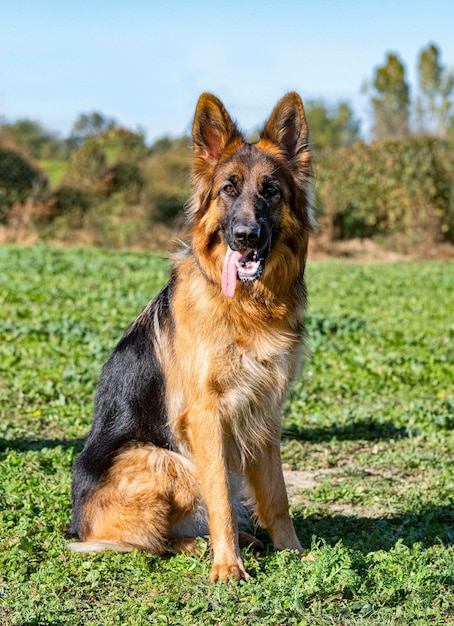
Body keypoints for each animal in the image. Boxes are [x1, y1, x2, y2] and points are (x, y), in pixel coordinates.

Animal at [67, 92, 314, 580]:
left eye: (271, 190)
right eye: (229, 189)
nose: (245, 237)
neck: (247, 307)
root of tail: (78, 524)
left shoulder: (266, 411)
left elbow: (277, 496)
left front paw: (293, 552)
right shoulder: (206, 415)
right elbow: (218, 496)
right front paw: (227, 566)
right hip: (165, 460)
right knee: (153, 542)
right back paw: (199, 547)